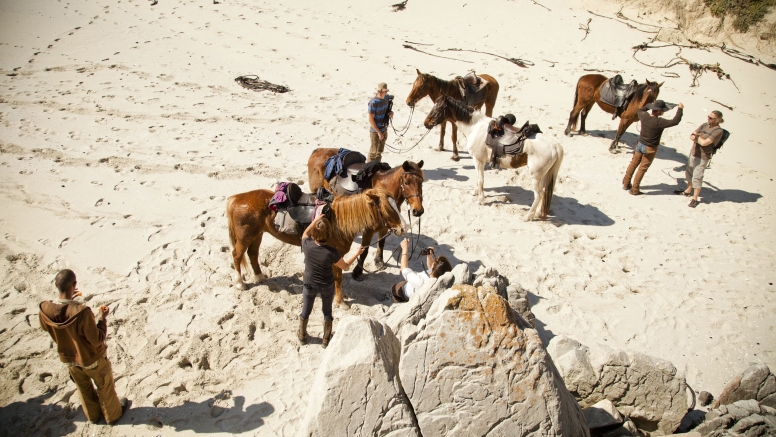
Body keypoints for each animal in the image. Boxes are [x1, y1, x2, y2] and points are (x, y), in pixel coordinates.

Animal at [226, 187, 406, 306]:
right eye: (387, 208)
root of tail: (237, 198)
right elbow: (338, 279)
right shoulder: (336, 256)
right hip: (245, 237)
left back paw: (259, 276)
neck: (338, 219)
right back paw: (240, 283)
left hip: (257, 235)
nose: (403, 228)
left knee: (253, 254)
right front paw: (341, 303)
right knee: (237, 255)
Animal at [306, 148, 424, 280]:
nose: (418, 210)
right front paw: (357, 271)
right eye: (407, 182)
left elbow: (381, 243)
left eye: (421, 182)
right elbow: (364, 250)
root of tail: (318, 150)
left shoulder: (386, 225)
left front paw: (378, 260)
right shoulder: (368, 229)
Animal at [424, 95, 564, 218]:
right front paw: (475, 192)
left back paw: (528, 216)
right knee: (545, 192)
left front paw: (481, 199)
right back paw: (539, 213)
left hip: (536, 176)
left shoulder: (478, 160)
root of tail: (555, 145)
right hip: (545, 175)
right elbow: (478, 178)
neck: (475, 127)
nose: (426, 123)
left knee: (538, 195)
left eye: (437, 108)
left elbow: (481, 179)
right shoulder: (479, 161)